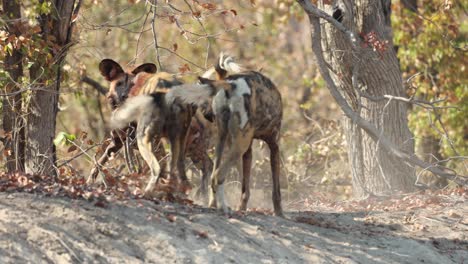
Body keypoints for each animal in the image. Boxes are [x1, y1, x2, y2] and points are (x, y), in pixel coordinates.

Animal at [91, 59, 212, 195]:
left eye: (132, 85)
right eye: (119, 84)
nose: (124, 96)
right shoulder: (118, 142)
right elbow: (98, 164)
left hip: (148, 140)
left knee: (158, 168)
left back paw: (147, 193)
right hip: (184, 147)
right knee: (187, 172)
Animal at [168, 55, 286, 217]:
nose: (206, 114)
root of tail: (230, 84)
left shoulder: (247, 151)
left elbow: (245, 189)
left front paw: (242, 208)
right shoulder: (273, 146)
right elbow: (276, 190)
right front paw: (279, 213)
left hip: (223, 140)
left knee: (212, 174)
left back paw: (213, 204)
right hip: (239, 144)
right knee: (218, 175)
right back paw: (223, 207)